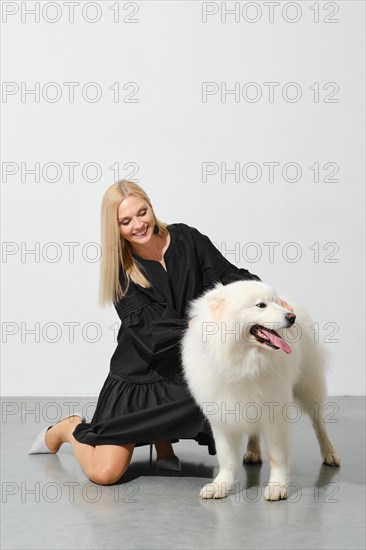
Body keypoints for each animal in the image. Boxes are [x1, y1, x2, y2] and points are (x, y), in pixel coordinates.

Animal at [180, 282, 340, 502]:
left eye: (275, 302)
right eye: (261, 305)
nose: (291, 317)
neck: (243, 362)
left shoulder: (275, 412)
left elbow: (278, 456)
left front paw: (277, 487)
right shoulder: (222, 414)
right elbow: (226, 458)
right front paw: (220, 486)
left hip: (309, 388)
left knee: (319, 424)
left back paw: (329, 453)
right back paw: (253, 452)